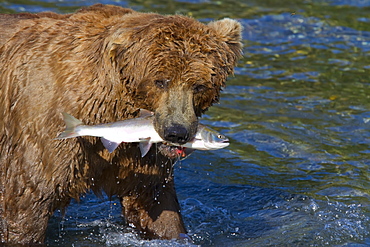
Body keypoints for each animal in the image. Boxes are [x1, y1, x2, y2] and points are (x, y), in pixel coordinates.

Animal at [0, 3, 243, 245]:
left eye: (199, 86)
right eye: (160, 81)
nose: (176, 132)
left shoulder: (141, 160)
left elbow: (156, 206)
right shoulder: (44, 132)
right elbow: (29, 203)